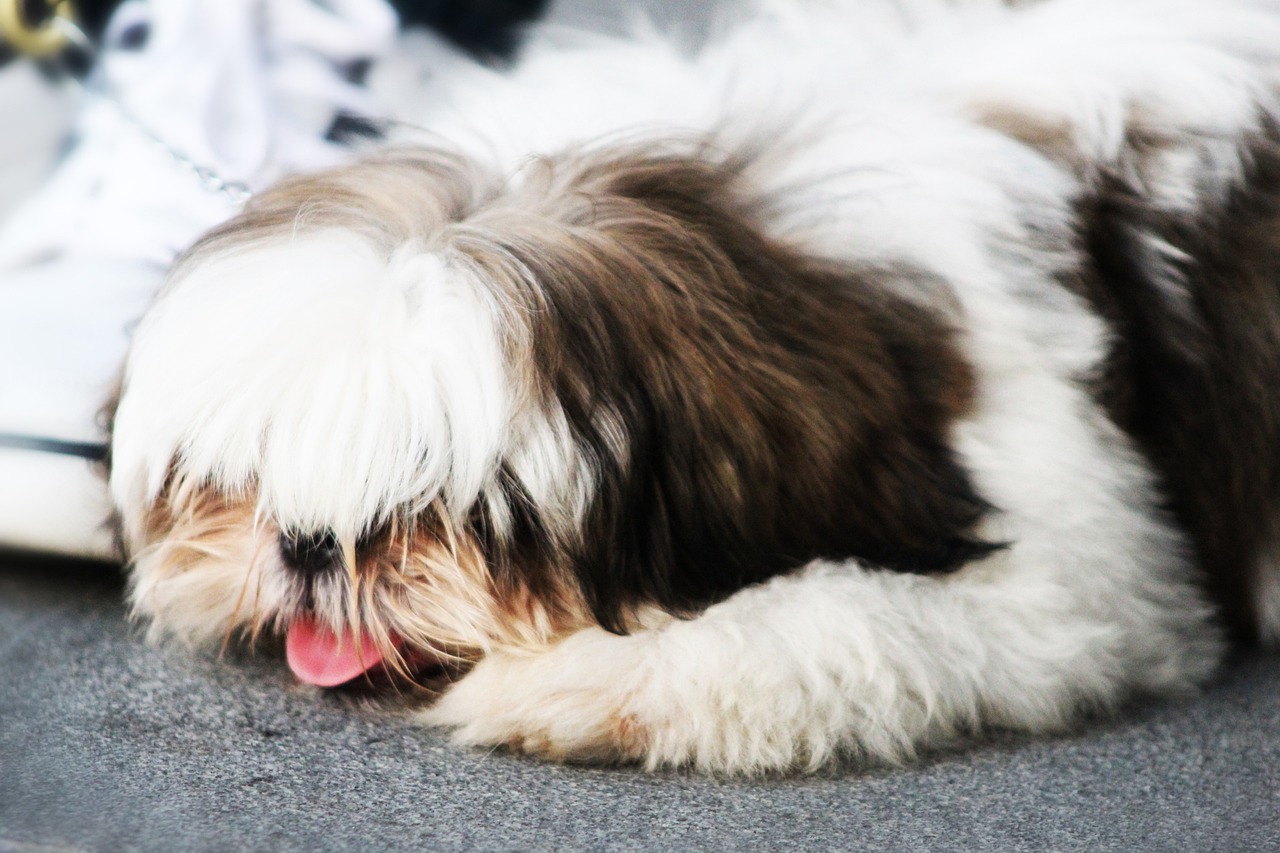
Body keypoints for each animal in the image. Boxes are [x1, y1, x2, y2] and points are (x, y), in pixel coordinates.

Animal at [104, 0, 1280, 768]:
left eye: (461, 507)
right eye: (234, 477)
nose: (310, 549)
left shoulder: (1072, 567)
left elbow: (841, 623)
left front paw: (594, 679)